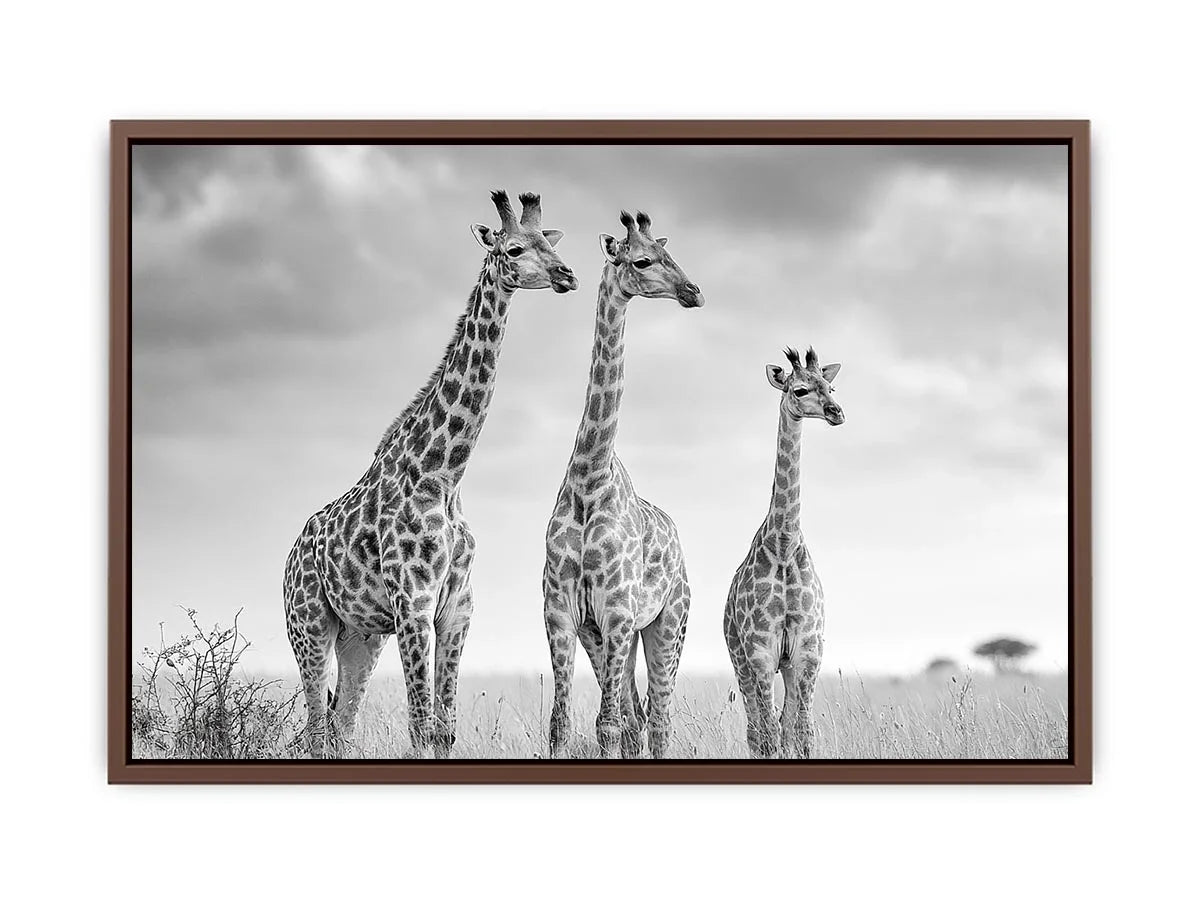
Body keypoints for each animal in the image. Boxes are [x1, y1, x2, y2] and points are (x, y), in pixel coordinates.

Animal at [284, 190, 578, 759]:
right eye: (513, 249)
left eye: (547, 242)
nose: (566, 274)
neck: (444, 475)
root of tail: (289, 556)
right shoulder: (413, 606)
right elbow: (421, 724)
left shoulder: (457, 608)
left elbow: (444, 726)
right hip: (309, 626)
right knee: (315, 727)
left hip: (361, 637)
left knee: (341, 723)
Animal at [543, 210, 704, 760]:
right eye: (642, 261)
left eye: (669, 253)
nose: (693, 291)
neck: (589, 478)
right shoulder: (564, 613)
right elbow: (563, 723)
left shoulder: (616, 611)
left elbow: (607, 724)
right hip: (615, 636)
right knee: (637, 717)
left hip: (667, 624)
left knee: (658, 718)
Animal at [724, 346, 844, 759]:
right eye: (799, 390)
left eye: (829, 386)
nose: (836, 412)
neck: (784, 546)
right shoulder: (760, 652)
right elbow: (770, 735)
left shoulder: (807, 651)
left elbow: (802, 733)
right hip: (740, 660)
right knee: (756, 730)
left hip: (786, 665)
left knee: (783, 724)